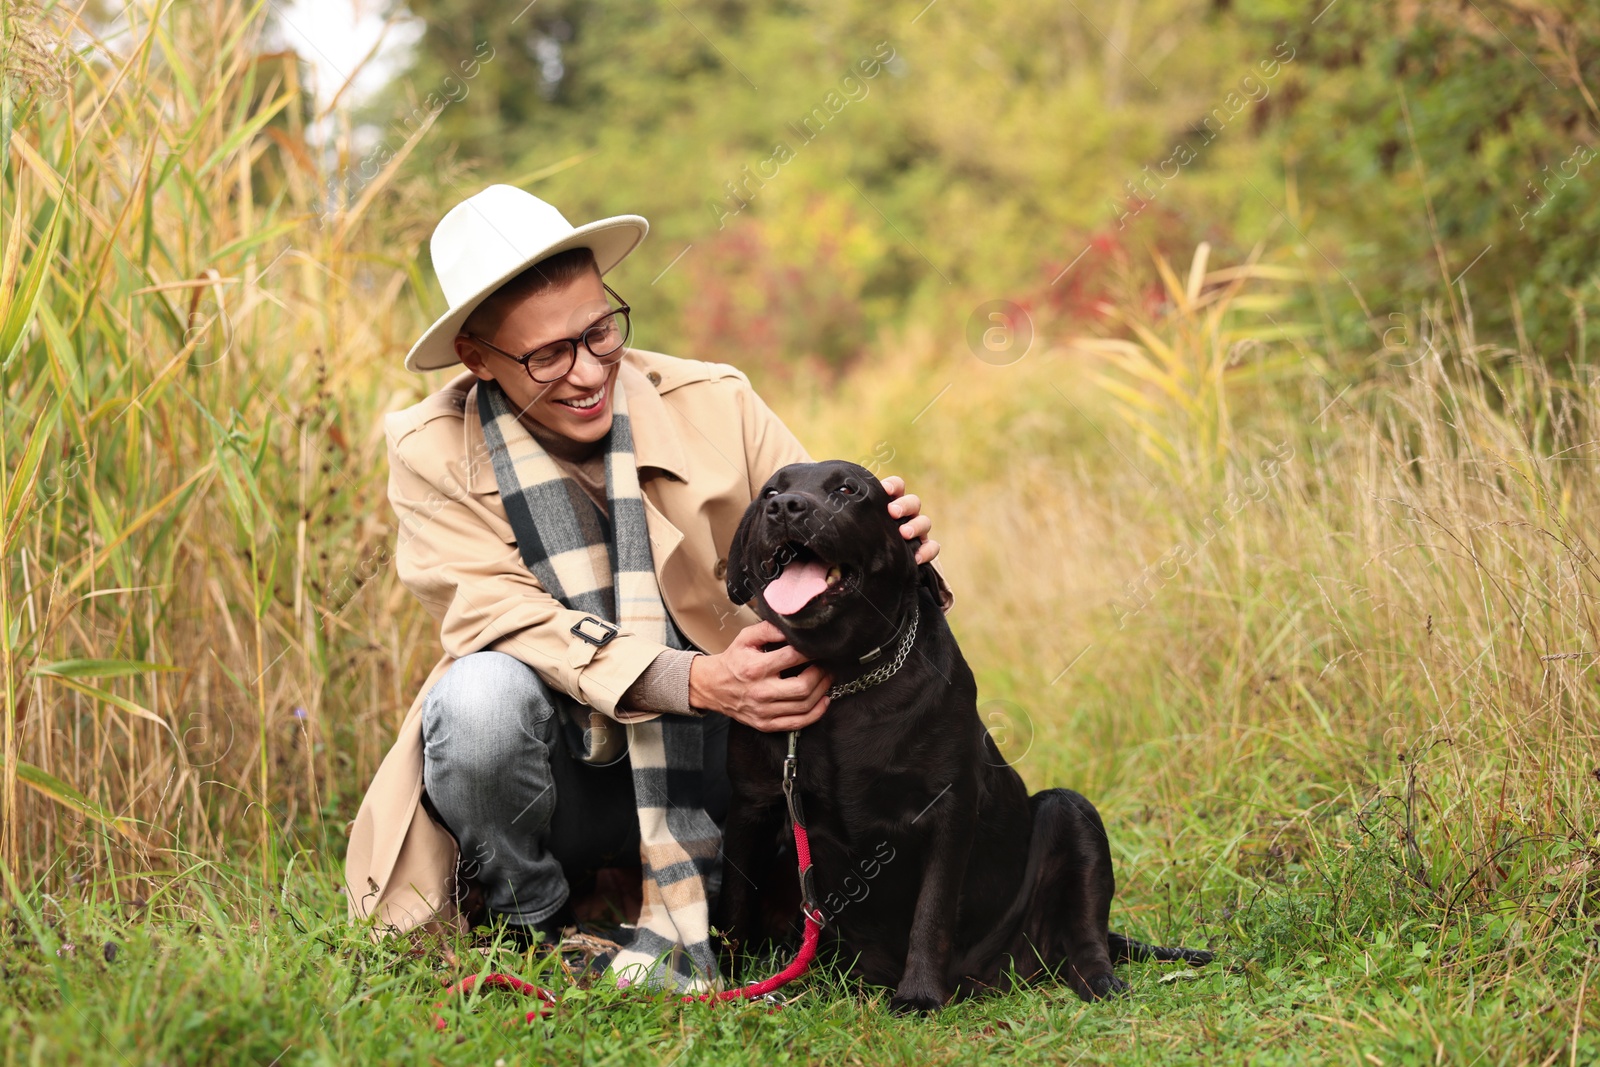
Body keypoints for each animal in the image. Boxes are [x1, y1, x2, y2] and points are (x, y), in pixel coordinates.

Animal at [720, 463, 1203, 1017]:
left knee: (1086, 938)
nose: (785, 507)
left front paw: (919, 996)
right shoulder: (751, 807)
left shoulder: (947, 810)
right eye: (771, 491)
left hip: (1071, 812)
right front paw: (721, 985)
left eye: (847, 489)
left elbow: (931, 913)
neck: (844, 680)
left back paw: (1099, 983)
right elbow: (731, 906)